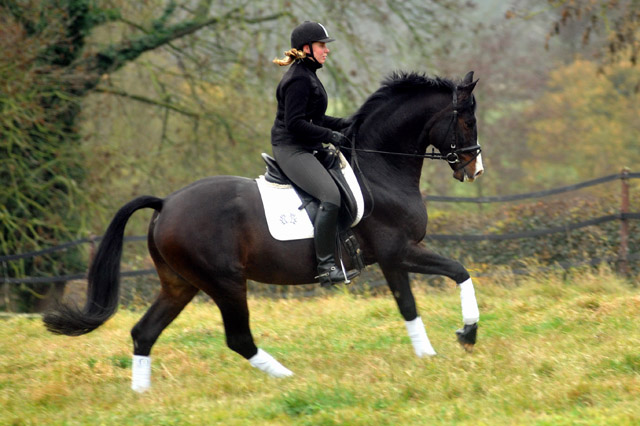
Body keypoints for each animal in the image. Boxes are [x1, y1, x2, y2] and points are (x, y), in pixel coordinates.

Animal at [42, 70, 482, 392]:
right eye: (466, 120)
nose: (474, 170)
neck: (379, 169)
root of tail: (166, 204)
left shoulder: (394, 257)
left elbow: (420, 299)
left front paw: (435, 352)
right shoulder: (399, 251)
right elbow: (452, 276)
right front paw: (464, 335)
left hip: (180, 284)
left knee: (143, 333)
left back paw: (142, 396)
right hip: (225, 282)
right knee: (238, 339)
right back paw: (289, 378)